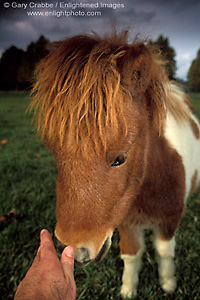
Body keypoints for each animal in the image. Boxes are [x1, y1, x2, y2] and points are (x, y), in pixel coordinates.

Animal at [30, 31, 199, 298]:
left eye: (120, 158)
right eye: (55, 153)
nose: (74, 248)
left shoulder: (170, 221)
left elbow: (164, 253)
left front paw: (168, 283)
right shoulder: (126, 223)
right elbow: (131, 255)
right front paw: (128, 289)